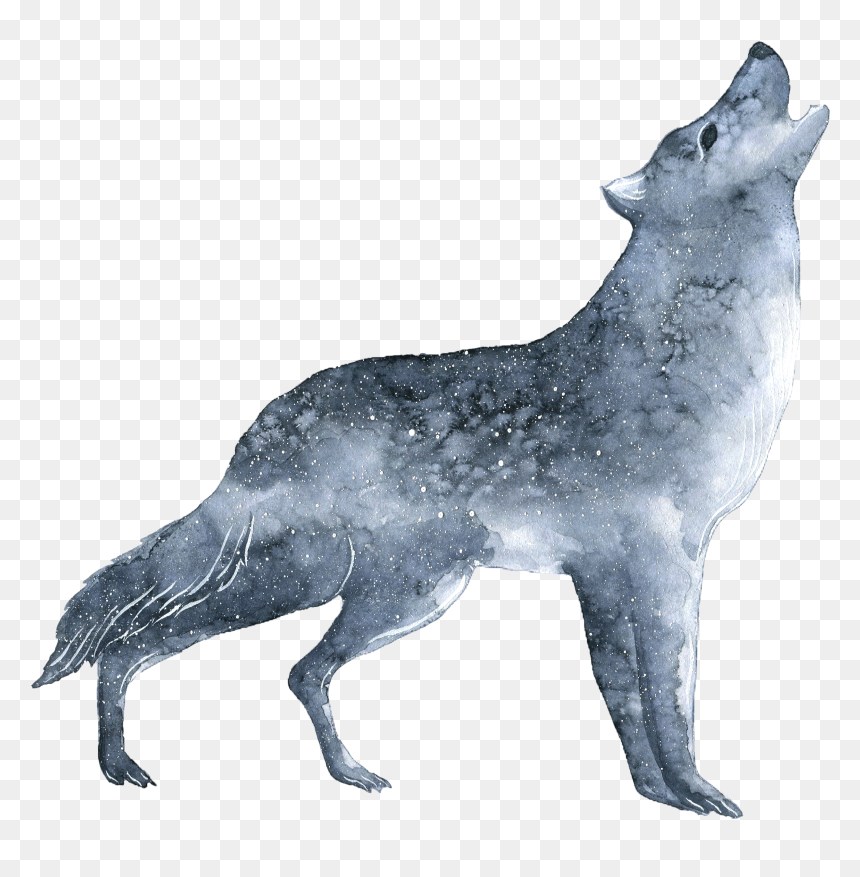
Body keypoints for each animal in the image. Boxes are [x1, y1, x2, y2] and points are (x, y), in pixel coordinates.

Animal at [34, 43, 827, 817]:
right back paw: (120, 763)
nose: (761, 45)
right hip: (324, 583)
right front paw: (695, 792)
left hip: (403, 591)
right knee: (144, 645)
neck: (688, 349)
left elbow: (624, 701)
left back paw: (342, 773)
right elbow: (669, 700)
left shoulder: (603, 573)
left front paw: (656, 793)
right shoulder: (664, 560)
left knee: (289, 669)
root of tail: (254, 436)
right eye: (707, 133)